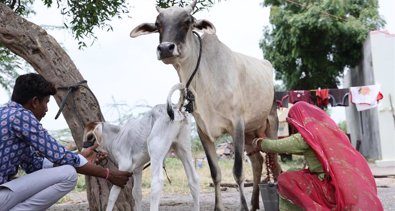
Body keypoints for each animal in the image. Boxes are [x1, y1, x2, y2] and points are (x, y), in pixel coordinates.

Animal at [82, 83, 200, 211]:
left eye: (89, 137)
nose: (83, 151)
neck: (116, 136)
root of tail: (176, 108)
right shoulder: (137, 169)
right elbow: (137, 193)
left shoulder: (124, 168)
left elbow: (112, 195)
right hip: (183, 149)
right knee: (193, 180)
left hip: (155, 150)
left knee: (157, 183)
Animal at [131, 0, 280, 210]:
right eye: (158, 24)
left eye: (187, 21)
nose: (166, 48)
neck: (205, 81)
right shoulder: (203, 131)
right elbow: (215, 172)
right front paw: (219, 207)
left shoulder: (237, 126)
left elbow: (238, 172)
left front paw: (242, 206)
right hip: (251, 133)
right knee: (258, 162)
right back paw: (254, 203)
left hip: (270, 125)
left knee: (275, 161)